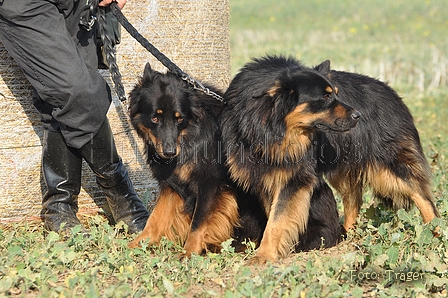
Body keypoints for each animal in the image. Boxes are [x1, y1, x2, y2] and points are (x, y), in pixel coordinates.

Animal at [128, 63, 240, 256]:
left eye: (179, 118)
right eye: (155, 118)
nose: (169, 152)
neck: (189, 136)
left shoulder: (209, 183)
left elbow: (198, 222)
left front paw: (190, 252)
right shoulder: (170, 183)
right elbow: (156, 217)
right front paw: (138, 243)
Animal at [220, 55, 360, 260]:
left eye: (335, 93)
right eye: (325, 97)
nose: (358, 115)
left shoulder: (292, 177)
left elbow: (277, 220)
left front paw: (264, 256)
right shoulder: (264, 176)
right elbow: (273, 215)